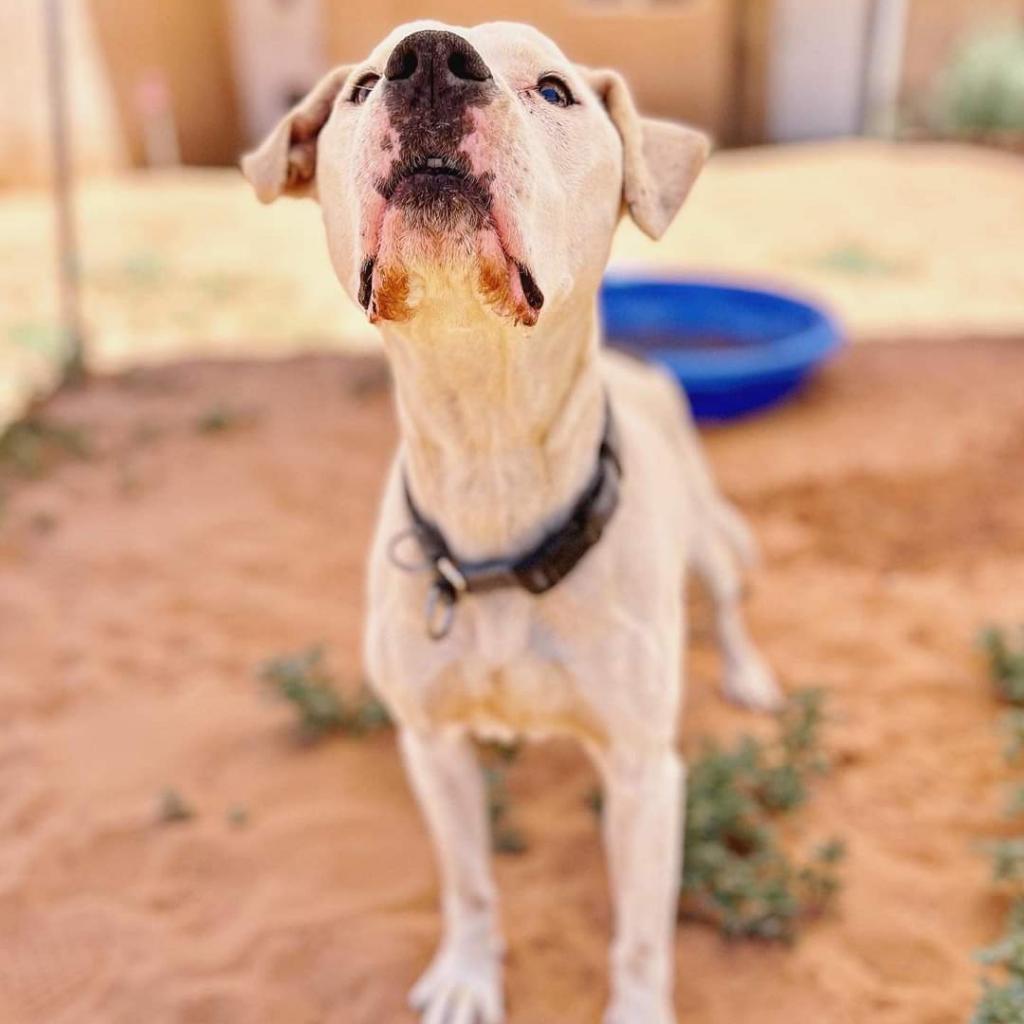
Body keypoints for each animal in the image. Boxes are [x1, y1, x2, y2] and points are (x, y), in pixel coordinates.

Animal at [243, 19, 778, 1019]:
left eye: (556, 91)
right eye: (363, 86)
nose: (427, 60)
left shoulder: (645, 776)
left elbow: (640, 935)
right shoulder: (431, 747)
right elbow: (470, 882)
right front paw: (466, 976)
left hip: (710, 540)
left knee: (729, 602)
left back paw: (750, 674)